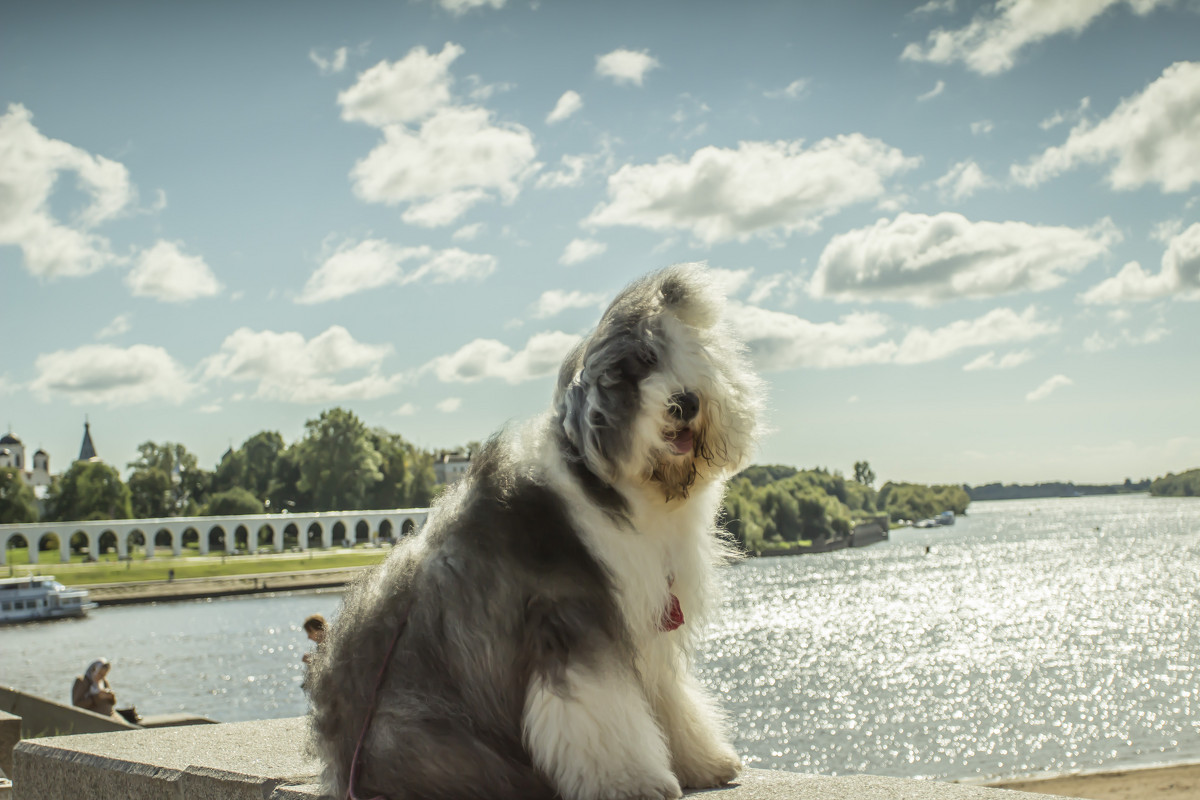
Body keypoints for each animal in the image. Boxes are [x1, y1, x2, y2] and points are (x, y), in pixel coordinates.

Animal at [307, 263, 758, 800]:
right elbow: (601, 711)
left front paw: (704, 762)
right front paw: (631, 783)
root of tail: (341, 766)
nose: (685, 402)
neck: (606, 484)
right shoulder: (566, 616)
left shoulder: (644, 621)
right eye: (637, 367)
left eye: (686, 357)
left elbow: (669, 698)